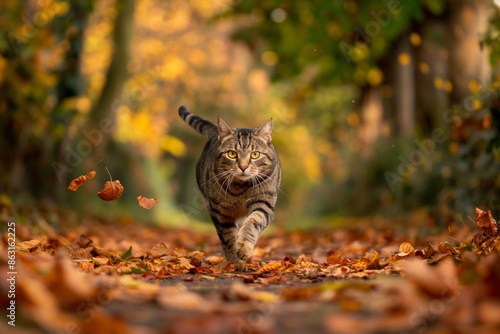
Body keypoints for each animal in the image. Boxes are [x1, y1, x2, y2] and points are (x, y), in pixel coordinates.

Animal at [179, 105, 282, 270]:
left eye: (255, 154)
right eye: (232, 154)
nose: (243, 167)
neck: (240, 188)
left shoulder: (264, 203)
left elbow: (252, 223)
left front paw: (244, 248)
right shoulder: (220, 211)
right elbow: (228, 238)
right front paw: (235, 261)